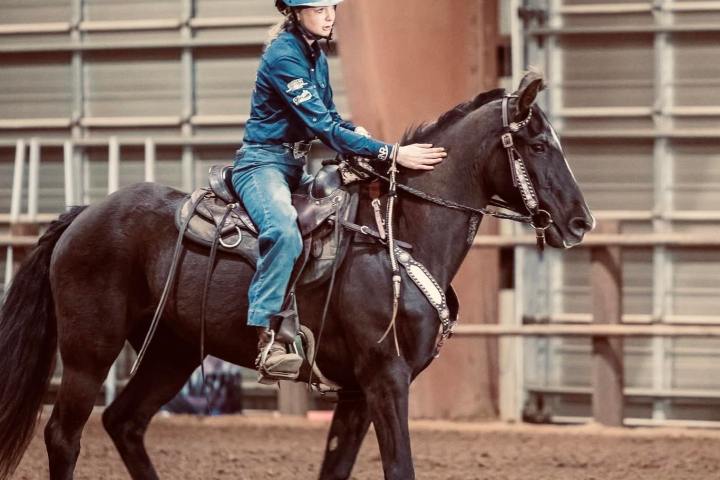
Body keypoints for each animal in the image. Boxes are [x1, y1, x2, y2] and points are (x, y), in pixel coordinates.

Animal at [0, 71, 594, 480]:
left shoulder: (357, 392)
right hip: (89, 352)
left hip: (173, 350)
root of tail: (85, 214)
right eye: (539, 145)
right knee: (64, 435)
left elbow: (336, 468)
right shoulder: (386, 377)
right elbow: (398, 467)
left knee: (124, 423)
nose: (580, 222)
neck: (397, 232)